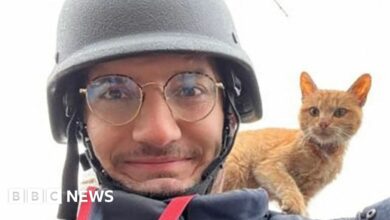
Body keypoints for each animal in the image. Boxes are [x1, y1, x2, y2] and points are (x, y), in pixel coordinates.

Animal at [222, 72, 372, 215]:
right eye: (314, 111)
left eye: (340, 112)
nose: (323, 123)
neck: (323, 155)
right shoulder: (268, 166)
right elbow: (288, 181)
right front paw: (295, 203)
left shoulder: (308, 191)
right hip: (236, 168)